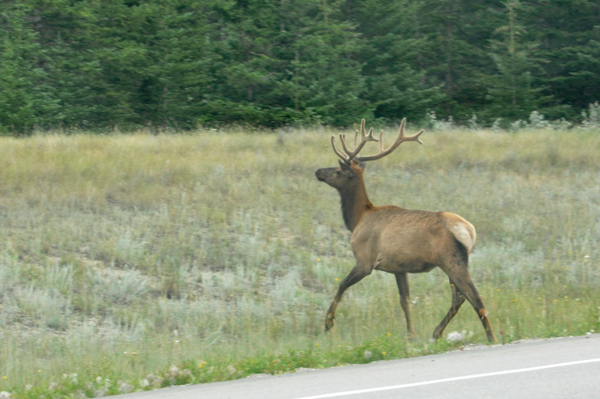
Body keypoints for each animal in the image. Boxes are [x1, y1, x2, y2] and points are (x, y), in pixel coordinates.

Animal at [314, 119, 496, 344]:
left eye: (338, 170)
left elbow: (342, 285)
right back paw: (436, 333)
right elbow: (405, 300)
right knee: (459, 297)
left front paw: (328, 322)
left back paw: (491, 338)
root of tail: (470, 231)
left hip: (451, 260)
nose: (318, 171)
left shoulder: (365, 260)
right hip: (454, 261)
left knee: (474, 297)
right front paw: (411, 335)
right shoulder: (399, 268)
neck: (357, 219)